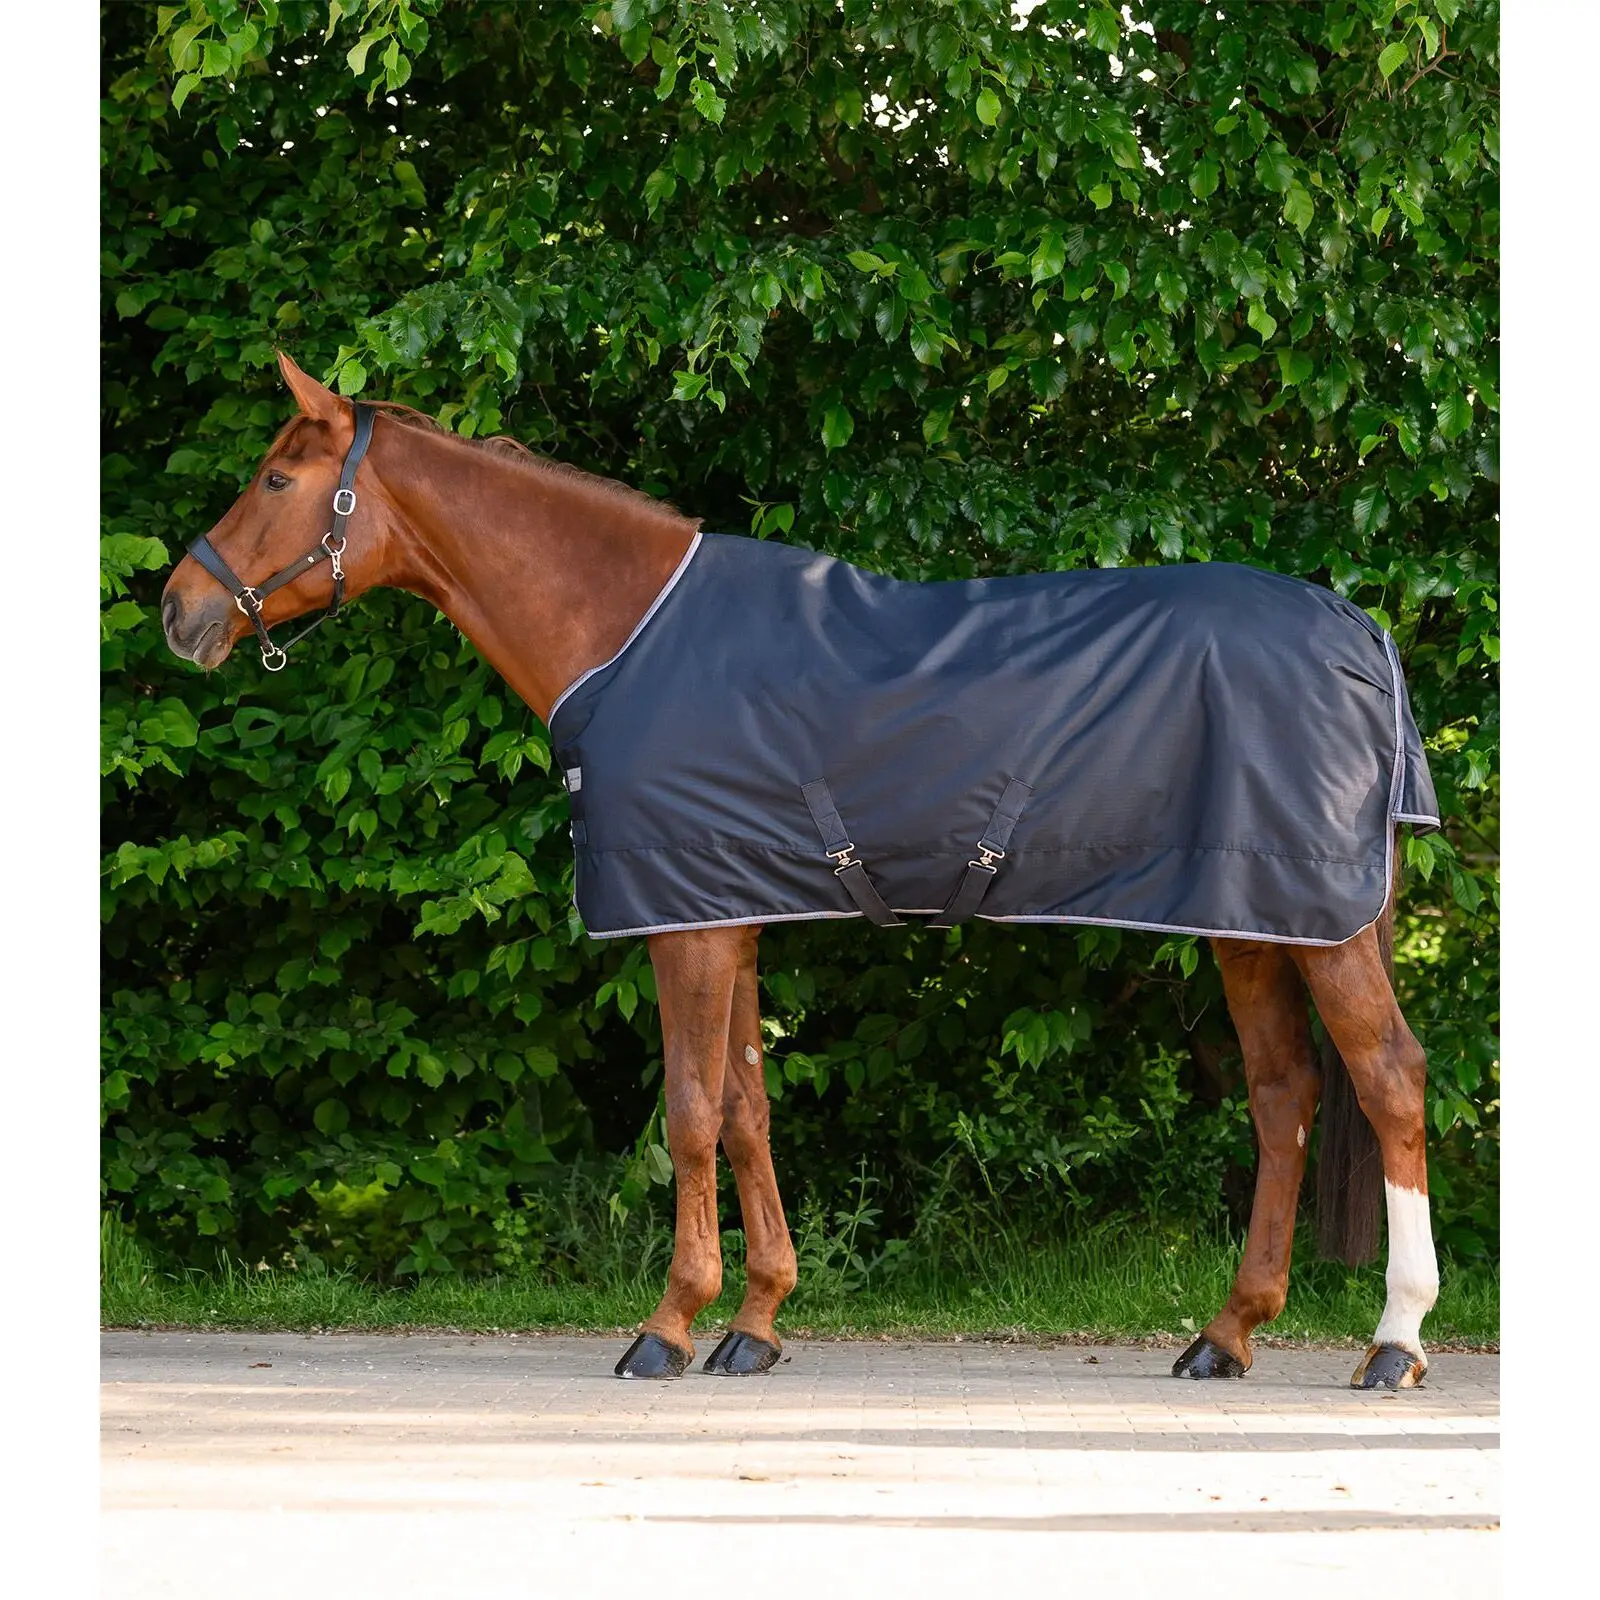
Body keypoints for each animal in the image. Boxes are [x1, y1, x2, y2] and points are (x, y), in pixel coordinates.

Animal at [161, 353, 1441, 1389]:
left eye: (275, 480)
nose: (178, 610)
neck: (626, 633)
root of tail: (1360, 633)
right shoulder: (727, 910)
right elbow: (744, 1109)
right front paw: (756, 1322)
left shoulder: (683, 924)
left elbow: (687, 1115)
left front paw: (667, 1327)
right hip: (1255, 921)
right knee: (1283, 1095)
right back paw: (1225, 1336)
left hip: (1317, 925)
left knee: (1388, 1080)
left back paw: (1394, 1342)